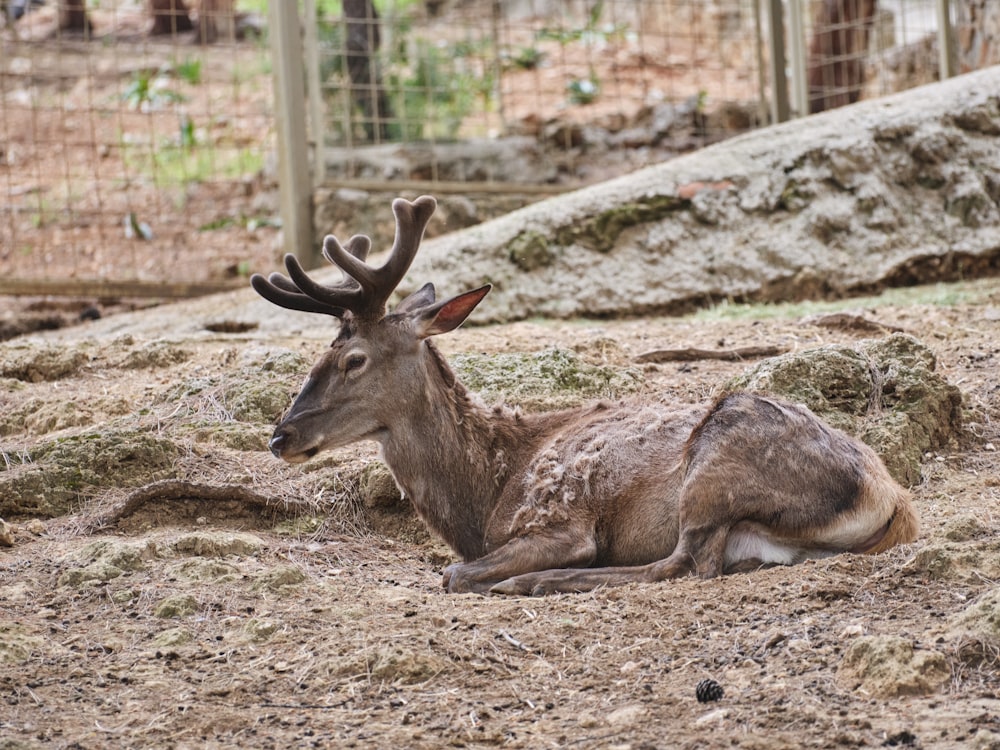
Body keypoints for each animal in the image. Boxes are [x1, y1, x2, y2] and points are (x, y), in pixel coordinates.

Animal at [252, 197, 920, 596]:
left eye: (353, 358)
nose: (281, 435)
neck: (485, 491)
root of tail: (890, 499)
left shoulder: (559, 519)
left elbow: (453, 571)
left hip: (719, 459)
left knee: (686, 564)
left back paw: (536, 582)